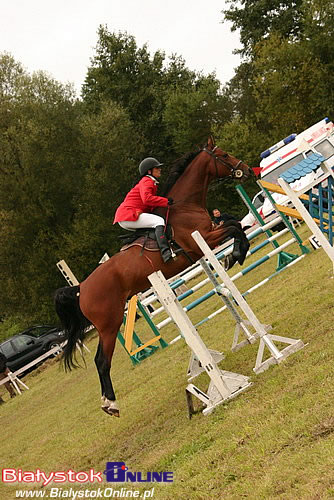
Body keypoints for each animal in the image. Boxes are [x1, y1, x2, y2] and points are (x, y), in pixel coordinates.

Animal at [54, 137, 253, 418]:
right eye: (223, 155)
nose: (245, 170)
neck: (185, 205)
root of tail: (81, 287)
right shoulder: (204, 239)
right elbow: (235, 228)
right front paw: (235, 254)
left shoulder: (210, 234)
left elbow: (237, 225)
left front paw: (236, 254)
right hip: (109, 324)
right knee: (101, 361)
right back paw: (110, 404)